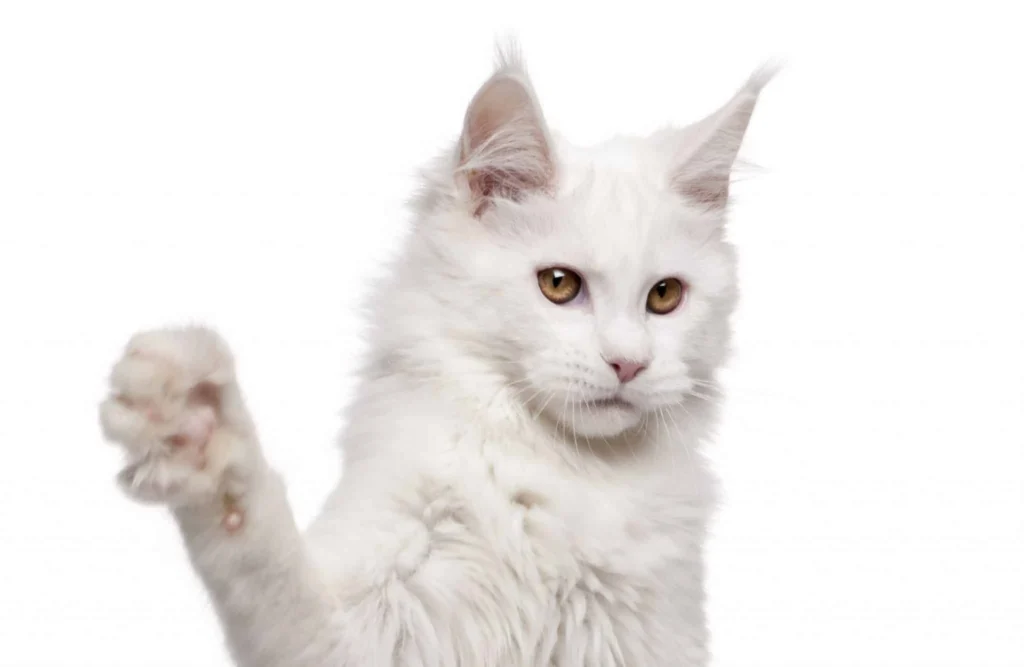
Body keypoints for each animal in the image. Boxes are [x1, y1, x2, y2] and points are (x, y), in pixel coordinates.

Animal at [97, 44, 774, 663]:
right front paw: (195, 424)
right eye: (558, 285)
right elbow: (262, 555)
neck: (563, 474)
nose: (629, 364)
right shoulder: (364, 621)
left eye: (665, 296)